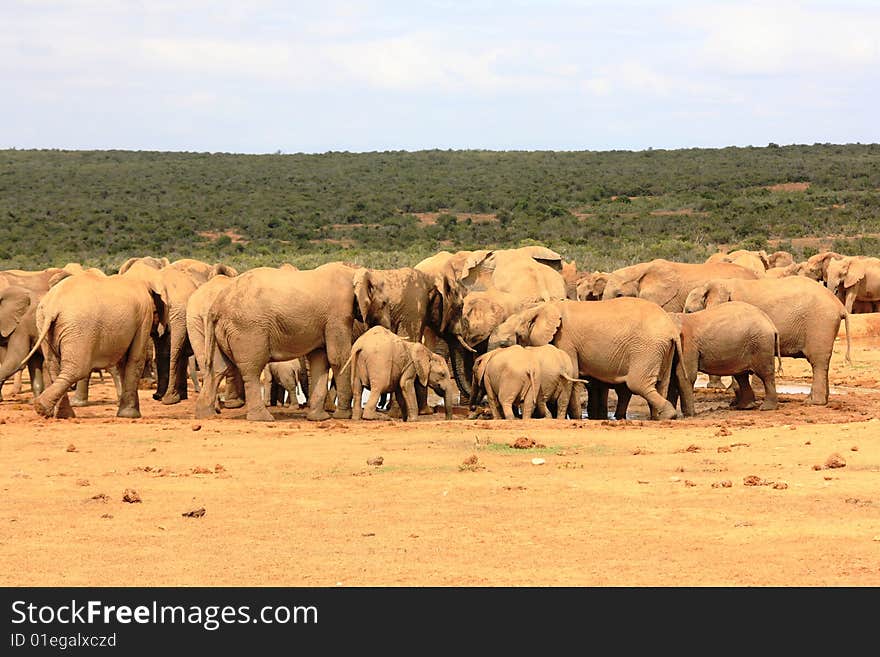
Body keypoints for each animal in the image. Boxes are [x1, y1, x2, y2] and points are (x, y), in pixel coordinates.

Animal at [20, 270, 168, 418]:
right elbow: (135, 359)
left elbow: (122, 362)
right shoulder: (144, 317)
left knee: (54, 368)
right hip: (78, 327)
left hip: (45, 325)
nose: (155, 396)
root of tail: (53, 307)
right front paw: (130, 415)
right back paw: (43, 407)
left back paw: (60, 414)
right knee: (77, 369)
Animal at [196, 260, 360, 420]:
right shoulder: (338, 314)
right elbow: (338, 358)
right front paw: (343, 416)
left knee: (218, 368)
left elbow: (321, 359)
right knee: (252, 369)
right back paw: (262, 418)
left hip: (223, 330)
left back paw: (206, 415)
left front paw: (320, 418)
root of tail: (215, 307)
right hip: (247, 329)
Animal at [488, 298, 696, 420]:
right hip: (663, 349)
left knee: (638, 383)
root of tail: (672, 329)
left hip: (646, 348)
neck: (545, 307)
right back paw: (659, 418)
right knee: (661, 383)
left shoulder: (565, 339)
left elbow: (572, 372)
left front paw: (575, 418)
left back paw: (669, 415)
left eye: (514, 337)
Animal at [684, 276, 848, 404]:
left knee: (817, 362)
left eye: (689, 311)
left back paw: (814, 402)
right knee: (823, 363)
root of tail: (840, 306)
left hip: (820, 324)